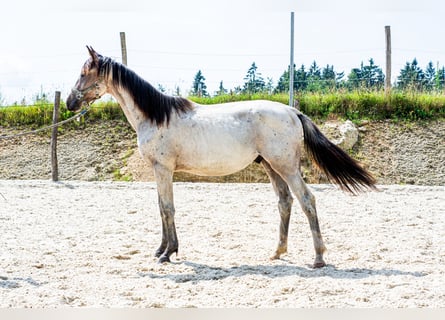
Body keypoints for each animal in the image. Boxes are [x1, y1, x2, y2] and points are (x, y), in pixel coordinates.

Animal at [66, 47, 374, 268]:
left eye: (83, 73)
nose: (70, 102)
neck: (156, 115)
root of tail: (291, 111)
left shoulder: (163, 169)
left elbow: (167, 208)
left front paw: (168, 253)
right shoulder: (159, 171)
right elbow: (161, 208)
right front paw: (161, 249)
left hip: (286, 166)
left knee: (306, 200)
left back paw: (318, 258)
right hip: (271, 167)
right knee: (284, 202)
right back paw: (277, 252)